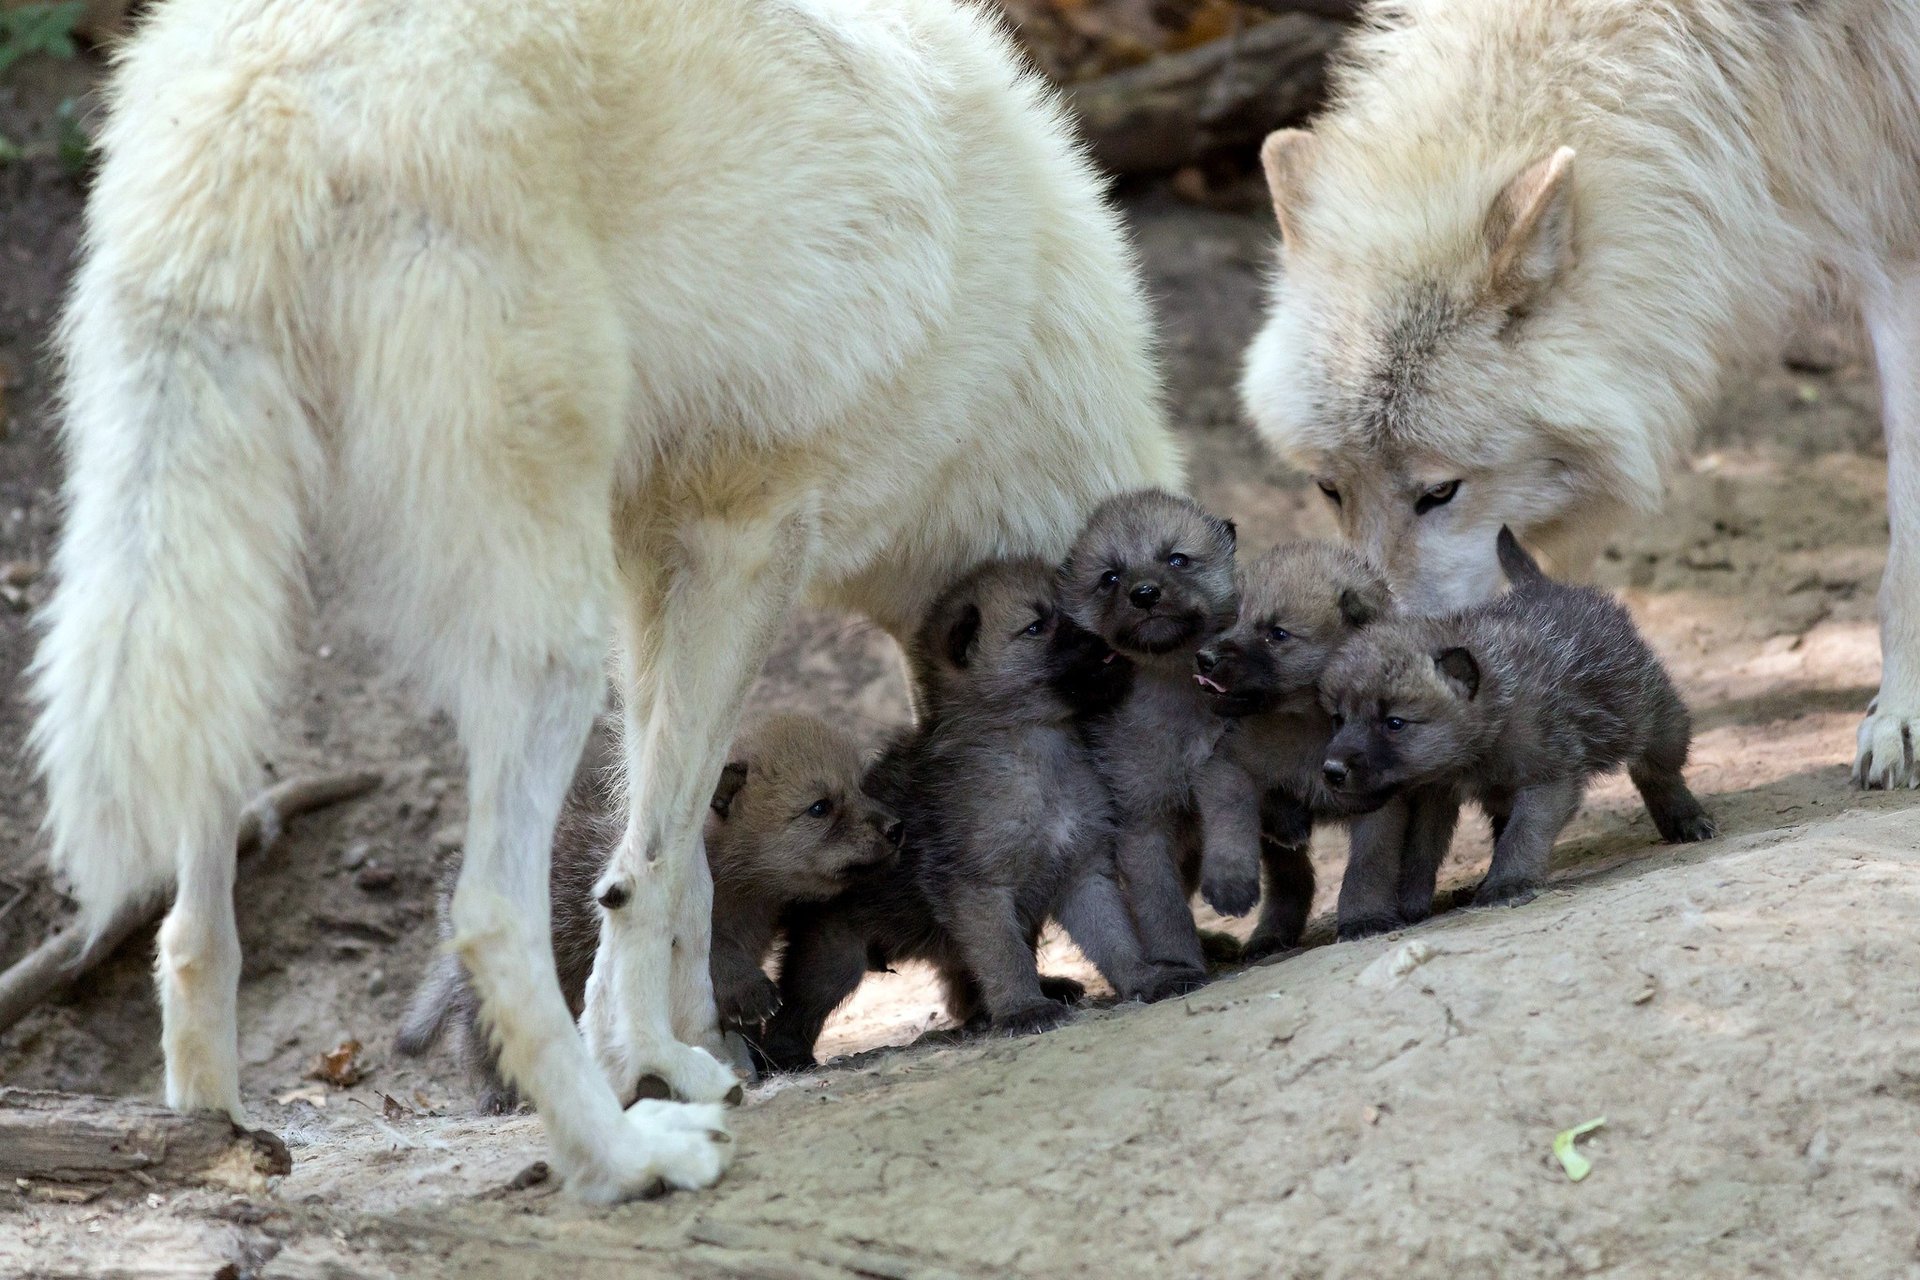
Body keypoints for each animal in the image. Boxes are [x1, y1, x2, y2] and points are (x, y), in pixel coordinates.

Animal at [396, 714, 899, 1113]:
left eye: (861, 787)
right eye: (820, 807)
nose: (895, 827)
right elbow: (717, 960)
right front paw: (754, 1002)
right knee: (478, 1039)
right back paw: (498, 1096)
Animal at [1238, 0, 1920, 789]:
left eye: (1440, 492)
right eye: (1329, 489)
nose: (1359, 674)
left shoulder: (1896, 231)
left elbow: (1906, 543)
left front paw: (1901, 715)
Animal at [1318, 529, 1715, 934]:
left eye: (1394, 723)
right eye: (1338, 718)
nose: (1331, 770)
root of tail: (1541, 585)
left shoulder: (1548, 779)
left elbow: (1523, 836)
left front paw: (1507, 883)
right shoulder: (1435, 794)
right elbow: (1420, 850)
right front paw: (1409, 901)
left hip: (1654, 718)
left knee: (1658, 770)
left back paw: (1685, 818)